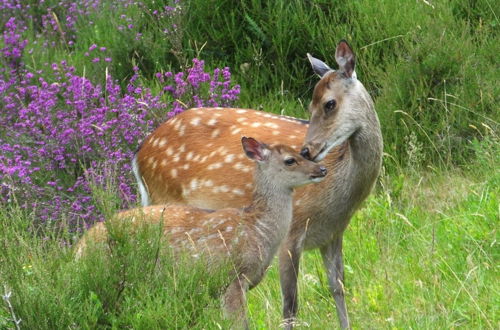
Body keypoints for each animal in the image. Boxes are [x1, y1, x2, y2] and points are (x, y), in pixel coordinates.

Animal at [76, 137, 326, 328]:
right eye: (290, 160)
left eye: (303, 152)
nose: (321, 169)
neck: (258, 231)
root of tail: (79, 248)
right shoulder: (231, 276)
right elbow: (240, 324)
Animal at [133, 40, 382, 328]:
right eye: (310, 107)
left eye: (329, 103)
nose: (307, 150)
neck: (339, 200)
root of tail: (138, 156)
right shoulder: (292, 232)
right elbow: (290, 305)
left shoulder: (333, 234)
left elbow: (338, 288)